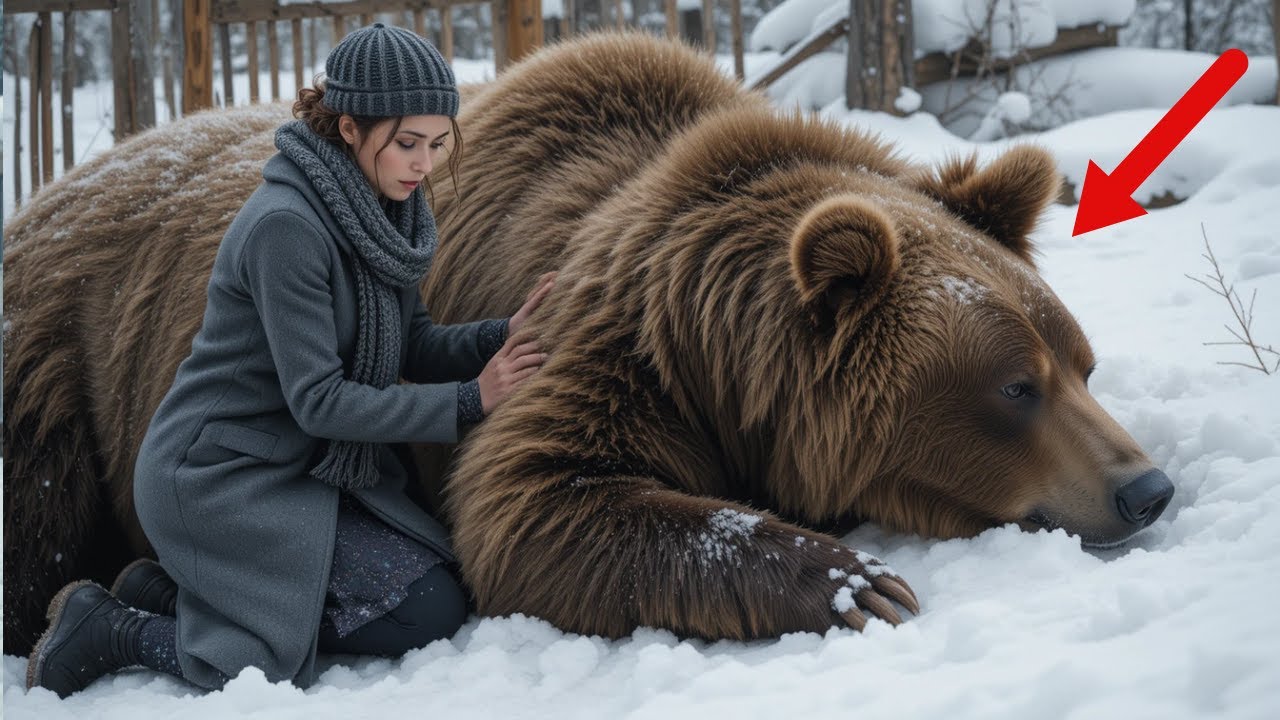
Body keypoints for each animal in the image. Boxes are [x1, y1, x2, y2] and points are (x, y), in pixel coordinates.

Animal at [2, 32, 1174, 655]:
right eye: (1013, 387)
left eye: (1078, 363)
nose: (1145, 488)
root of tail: (47, 190)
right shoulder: (620, 353)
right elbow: (536, 503)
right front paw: (858, 582)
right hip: (54, 371)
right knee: (37, 526)